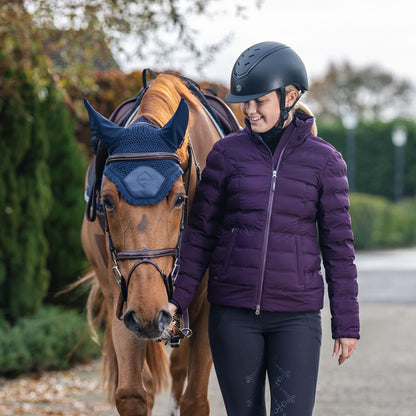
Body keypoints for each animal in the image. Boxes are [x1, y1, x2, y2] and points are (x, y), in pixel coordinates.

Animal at [80, 73, 224, 414]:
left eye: (180, 199)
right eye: (107, 201)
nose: (148, 311)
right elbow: (132, 394)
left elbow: (195, 399)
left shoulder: (207, 307)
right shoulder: (124, 299)